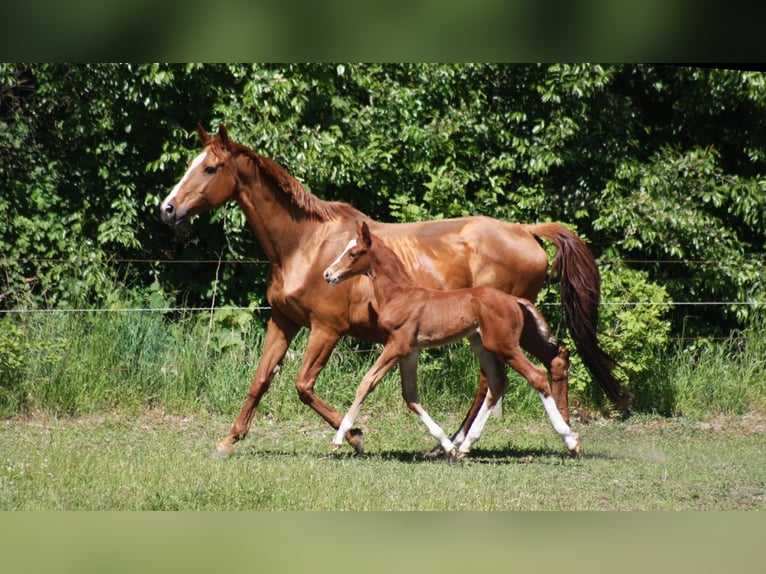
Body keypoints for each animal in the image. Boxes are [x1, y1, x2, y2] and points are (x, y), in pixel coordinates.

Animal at [324, 221, 581, 458]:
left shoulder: (397, 345)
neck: (400, 295)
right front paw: (446, 445)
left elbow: (367, 382)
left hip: (503, 345)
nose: (328, 274)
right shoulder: (411, 352)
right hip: (482, 344)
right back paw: (466, 445)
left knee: (536, 375)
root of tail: (514, 300)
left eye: (353, 253)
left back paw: (569, 439)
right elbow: (410, 395)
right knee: (498, 383)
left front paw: (339, 439)